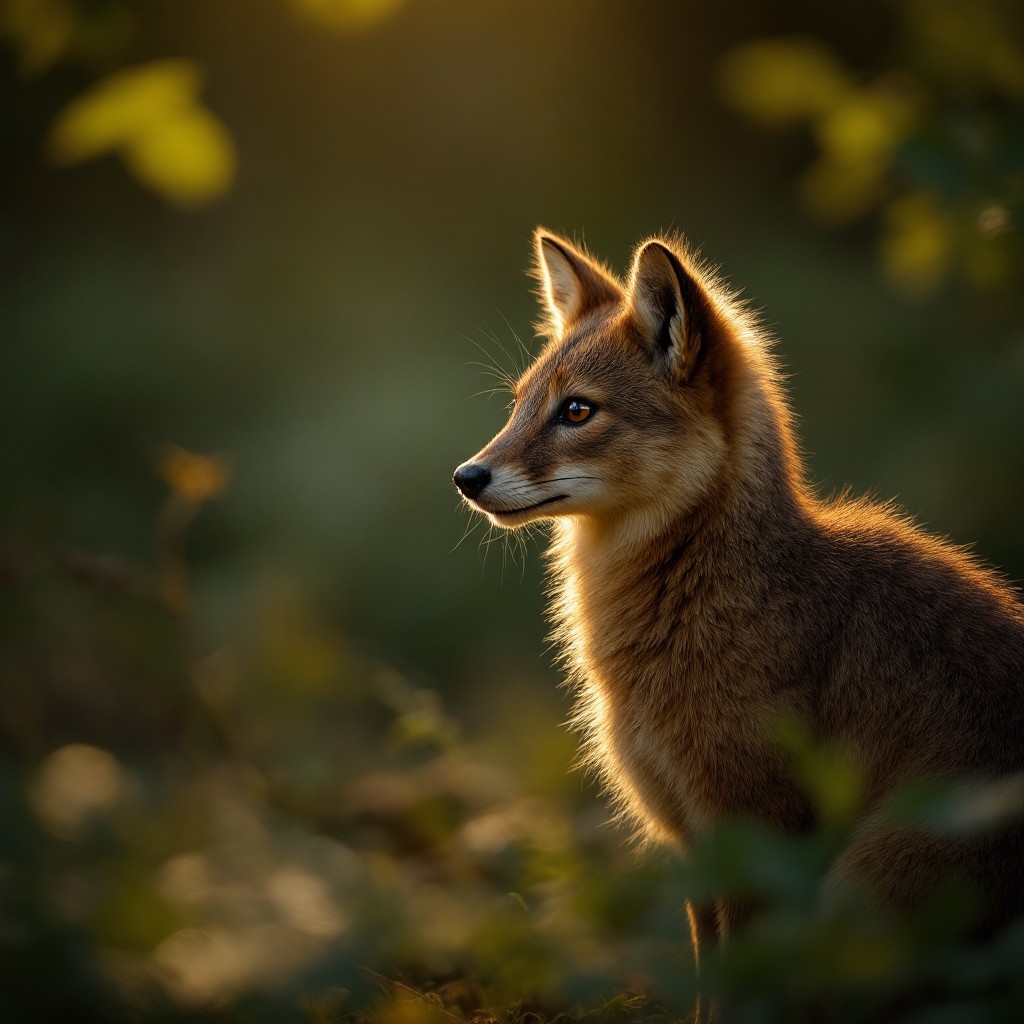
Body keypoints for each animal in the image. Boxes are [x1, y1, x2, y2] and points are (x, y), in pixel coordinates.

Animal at [453, 229, 1024, 949]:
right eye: (519, 402)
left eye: (576, 410)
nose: (466, 476)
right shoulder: (695, 848)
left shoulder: (754, 838)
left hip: (855, 898)